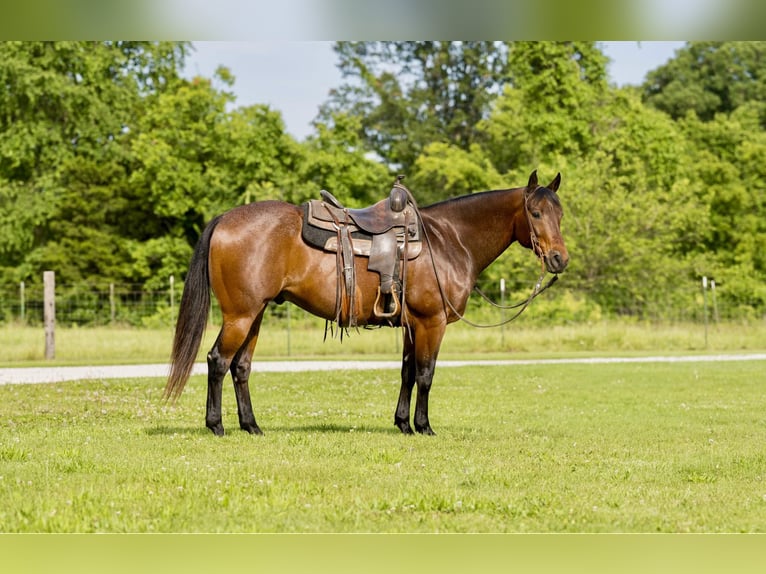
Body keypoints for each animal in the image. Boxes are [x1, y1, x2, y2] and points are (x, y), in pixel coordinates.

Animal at [164, 170, 569, 436]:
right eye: (535, 213)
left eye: (560, 214)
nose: (559, 259)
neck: (447, 240)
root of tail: (224, 219)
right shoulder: (431, 322)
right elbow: (426, 373)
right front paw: (424, 426)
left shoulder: (411, 325)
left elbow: (407, 373)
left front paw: (403, 424)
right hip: (241, 315)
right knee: (218, 361)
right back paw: (216, 426)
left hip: (256, 314)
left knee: (241, 366)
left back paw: (251, 426)